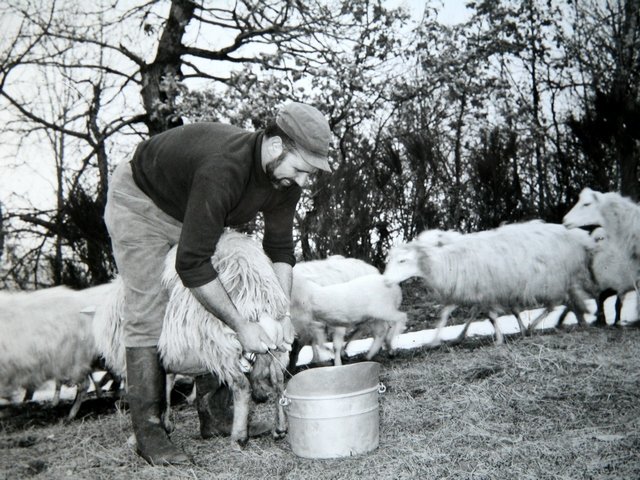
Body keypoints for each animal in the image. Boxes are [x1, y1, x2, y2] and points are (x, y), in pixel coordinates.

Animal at [95, 231, 290, 444]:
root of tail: (257, 288)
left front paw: (139, 436)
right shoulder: (166, 358)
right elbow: (165, 389)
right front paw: (166, 424)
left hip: (220, 342)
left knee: (242, 387)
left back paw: (238, 437)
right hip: (274, 344)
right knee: (279, 381)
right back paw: (279, 427)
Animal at [380, 221, 596, 344]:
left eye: (403, 261)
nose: (386, 280)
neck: (447, 260)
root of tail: (578, 237)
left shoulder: (487, 291)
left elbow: (491, 316)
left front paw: (499, 339)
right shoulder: (466, 292)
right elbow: (447, 315)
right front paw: (439, 339)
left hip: (551, 281)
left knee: (554, 304)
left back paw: (535, 326)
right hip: (559, 280)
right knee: (568, 300)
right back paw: (577, 320)